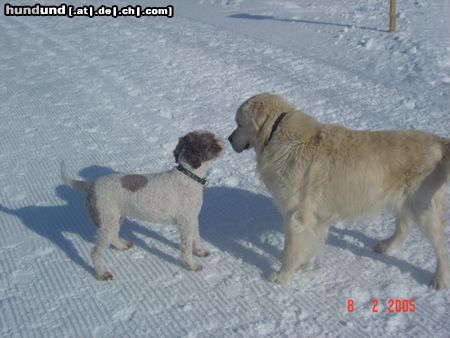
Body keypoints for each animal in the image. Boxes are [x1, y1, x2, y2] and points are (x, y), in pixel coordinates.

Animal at [60, 131, 225, 282]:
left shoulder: (192, 219)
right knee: (95, 252)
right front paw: (191, 265)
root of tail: (91, 185)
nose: (224, 142)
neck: (188, 176)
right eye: (210, 142)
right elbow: (186, 247)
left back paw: (122, 246)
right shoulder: (185, 223)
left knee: (113, 237)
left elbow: (197, 237)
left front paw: (200, 252)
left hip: (114, 220)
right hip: (106, 224)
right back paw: (102, 273)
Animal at [229, 93, 450, 290]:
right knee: (403, 225)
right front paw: (302, 264)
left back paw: (440, 279)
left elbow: (290, 250)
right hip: (403, 199)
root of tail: (438, 142)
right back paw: (387, 245)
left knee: (441, 246)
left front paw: (283, 276)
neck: (276, 133)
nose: (229, 139)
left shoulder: (296, 215)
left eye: (239, 123)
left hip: (423, 208)